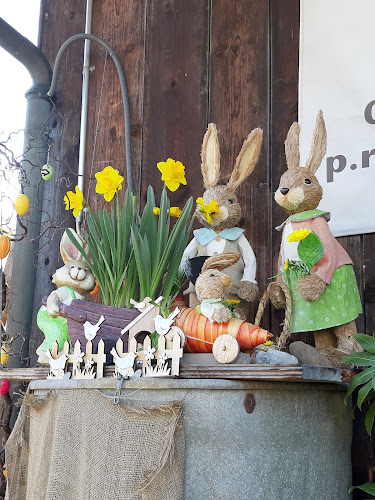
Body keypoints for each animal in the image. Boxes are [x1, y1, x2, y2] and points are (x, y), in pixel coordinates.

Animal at [181, 123, 262, 318]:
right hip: (194, 296)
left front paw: (247, 289)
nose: (213, 210)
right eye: (205, 198)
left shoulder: (242, 241)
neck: (218, 232)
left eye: (230, 201)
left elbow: (250, 261)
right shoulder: (195, 241)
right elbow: (186, 255)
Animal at [272, 111, 362, 366]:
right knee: (321, 331)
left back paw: (346, 355)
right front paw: (277, 296)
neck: (298, 216)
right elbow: (280, 267)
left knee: (345, 328)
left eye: (307, 181)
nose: (284, 190)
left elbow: (327, 258)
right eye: (282, 180)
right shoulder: (281, 257)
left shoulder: (321, 232)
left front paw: (308, 287)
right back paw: (323, 353)